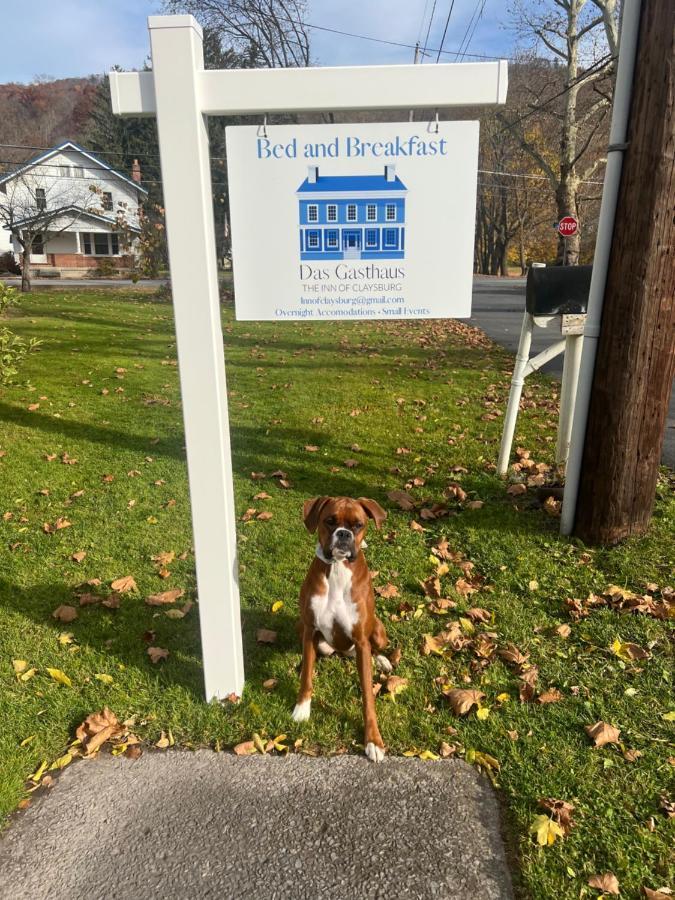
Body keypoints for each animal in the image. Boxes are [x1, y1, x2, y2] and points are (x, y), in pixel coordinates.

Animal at [294, 496, 394, 764]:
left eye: (358, 525)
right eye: (330, 521)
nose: (343, 534)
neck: (338, 569)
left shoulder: (361, 640)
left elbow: (368, 696)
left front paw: (373, 741)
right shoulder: (310, 630)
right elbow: (307, 676)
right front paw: (302, 708)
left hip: (377, 631)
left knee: (374, 649)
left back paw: (382, 661)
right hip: (314, 638)